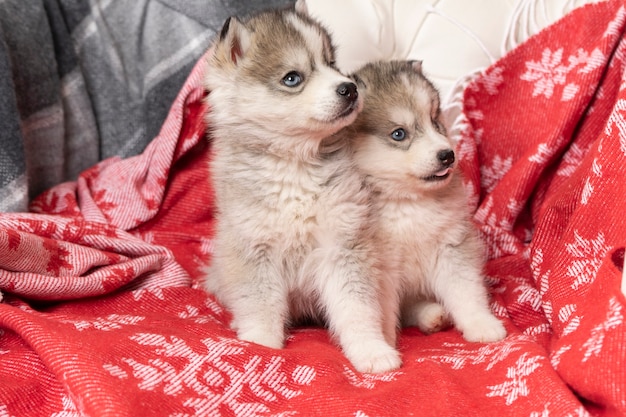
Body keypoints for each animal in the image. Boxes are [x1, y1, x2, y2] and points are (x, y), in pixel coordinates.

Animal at [202, 0, 402, 370]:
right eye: (292, 78)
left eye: (332, 64)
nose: (349, 88)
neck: (295, 165)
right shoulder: (255, 248)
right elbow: (260, 304)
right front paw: (259, 343)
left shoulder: (343, 244)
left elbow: (357, 308)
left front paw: (371, 350)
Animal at [346, 61, 508, 342]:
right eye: (399, 134)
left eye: (435, 122)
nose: (447, 155)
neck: (408, 202)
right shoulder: (382, 266)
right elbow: (384, 311)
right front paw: (386, 342)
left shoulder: (452, 246)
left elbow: (466, 291)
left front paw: (481, 324)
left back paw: (433, 315)